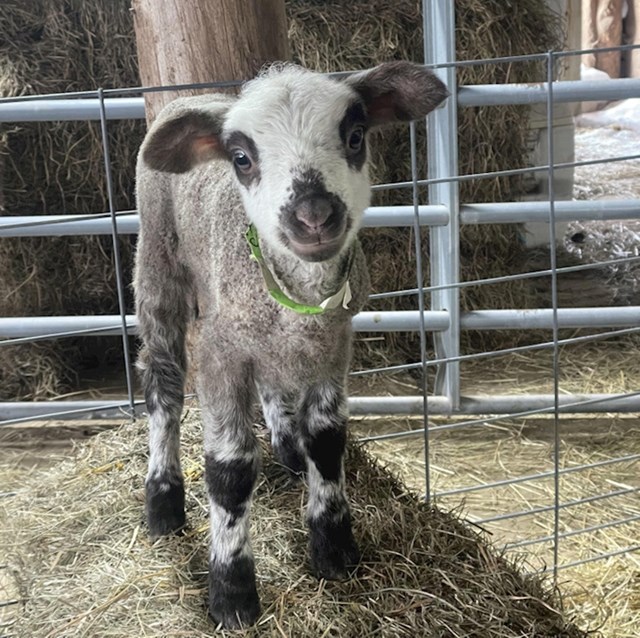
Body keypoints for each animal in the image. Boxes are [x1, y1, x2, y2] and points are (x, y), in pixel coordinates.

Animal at [133, 60, 448, 632]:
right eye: (241, 158)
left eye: (355, 136)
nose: (314, 214)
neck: (298, 294)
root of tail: (190, 99)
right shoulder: (220, 350)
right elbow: (229, 471)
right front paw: (232, 592)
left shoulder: (333, 344)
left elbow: (327, 439)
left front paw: (334, 546)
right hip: (157, 261)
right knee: (162, 381)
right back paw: (163, 501)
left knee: (274, 380)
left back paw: (287, 447)